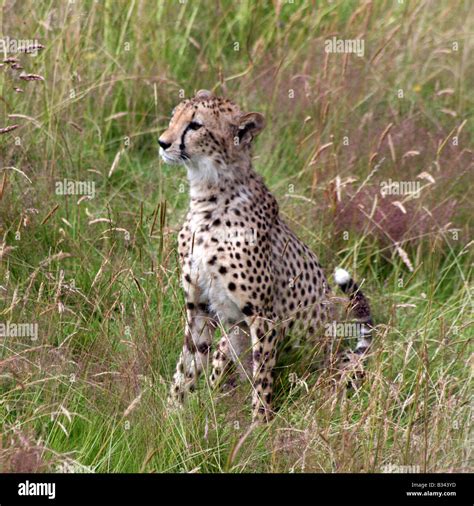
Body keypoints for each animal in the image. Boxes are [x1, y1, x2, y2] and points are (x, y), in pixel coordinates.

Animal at [159, 90, 374, 422]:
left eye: (195, 125)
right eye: (174, 117)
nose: (162, 142)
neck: (208, 194)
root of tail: (339, 356)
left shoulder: (264, 316)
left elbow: (261, 378)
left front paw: (259, 426)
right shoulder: (199, 307)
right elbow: (187, 366)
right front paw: (171, 415)